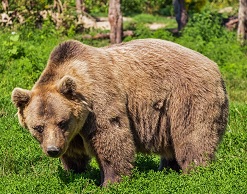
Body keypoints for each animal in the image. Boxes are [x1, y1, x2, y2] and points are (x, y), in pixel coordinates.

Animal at [11, 38, 228, 186]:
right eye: (38, 127)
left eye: (62, 122)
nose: (52, 150)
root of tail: (215, 66)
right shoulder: (73, 132)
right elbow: (74, 152)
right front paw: (75, 172)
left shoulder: (99, 101)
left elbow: (112, 137)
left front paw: (110, 181)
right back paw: (167, 168)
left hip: (187, 97)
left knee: (193, 136)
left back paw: (195, 171)